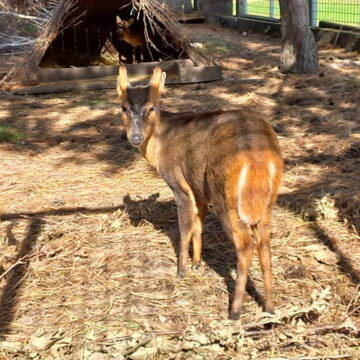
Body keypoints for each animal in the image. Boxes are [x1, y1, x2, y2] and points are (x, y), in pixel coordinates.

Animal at [116, 66, 282, 320]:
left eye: (151, 107)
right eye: (123, 107)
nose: (135, 137)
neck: (160, 141)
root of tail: (259, 156)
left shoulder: (180, 185)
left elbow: (185, 228)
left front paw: (181, 270)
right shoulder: (199, 188)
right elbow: (199, 225)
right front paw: (196, 263)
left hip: (226, 197)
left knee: (245, 244)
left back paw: (234, 310)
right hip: (267, 203)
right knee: (264, 244)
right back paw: (270, 307)